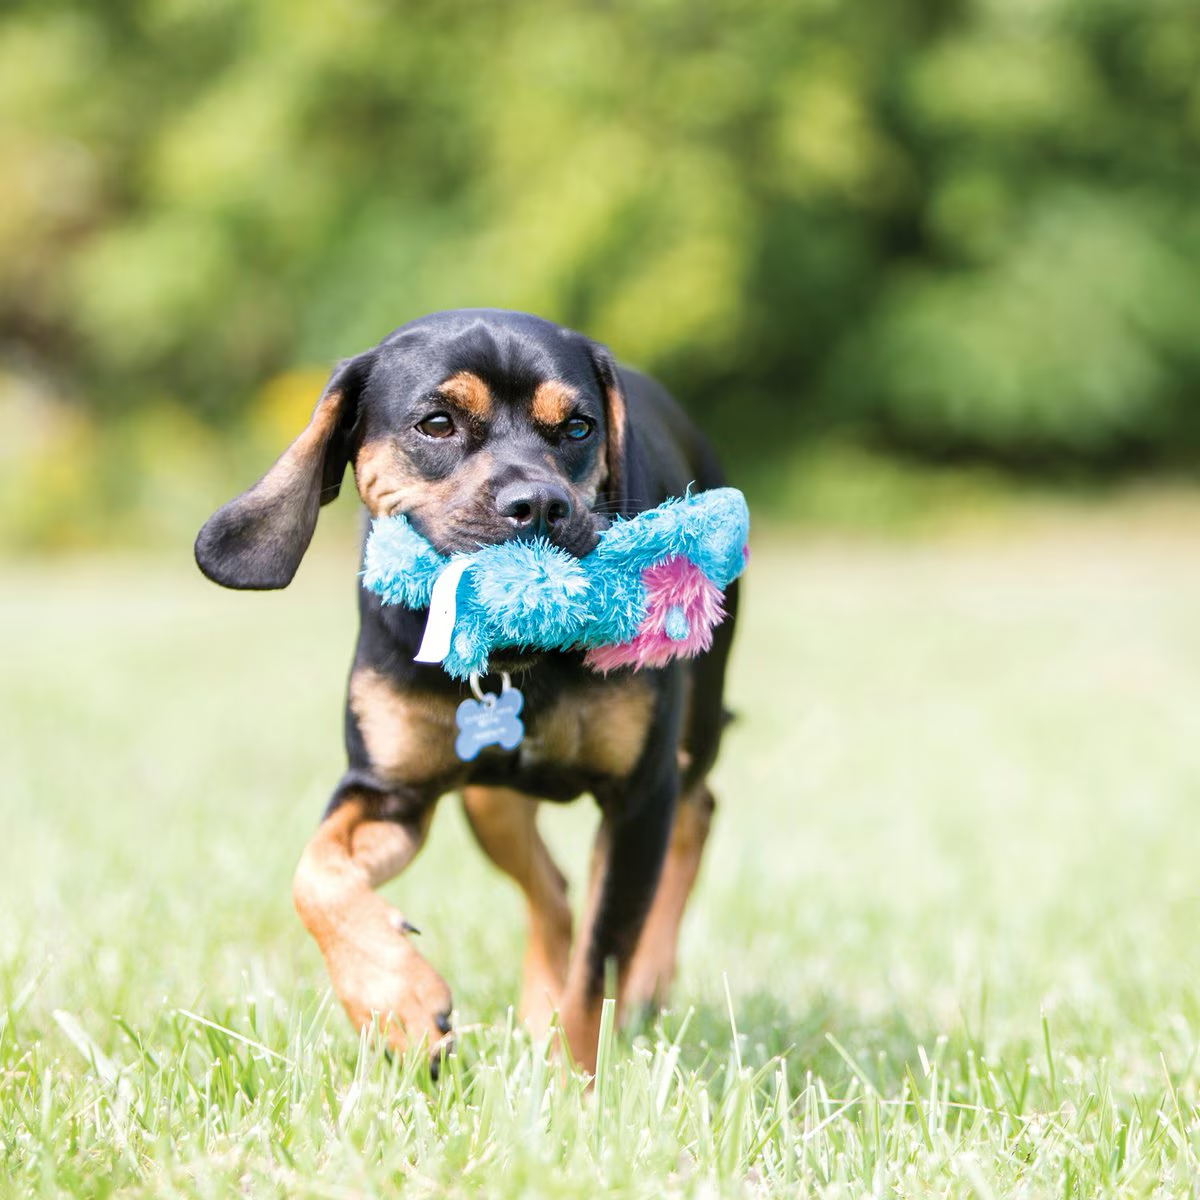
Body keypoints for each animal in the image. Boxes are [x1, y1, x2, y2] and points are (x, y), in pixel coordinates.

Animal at [194, 307, 739, 1070]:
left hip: (693, 728)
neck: (518, 655)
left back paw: (647, 981)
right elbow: (316, 875)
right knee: (554, 892)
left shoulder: (639, 794)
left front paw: (574, 1085)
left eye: (579, 427)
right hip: (489, 797)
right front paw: (395, 1001)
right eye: (437, 423)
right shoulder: (390, 790)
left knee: (696, 813)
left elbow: (599, 969)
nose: (538, 503)